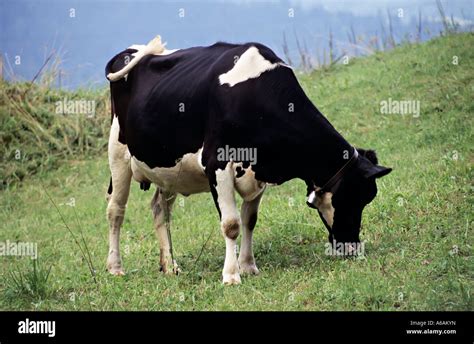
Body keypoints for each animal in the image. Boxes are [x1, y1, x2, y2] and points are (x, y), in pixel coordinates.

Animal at [104, 35, 392, 284]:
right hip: (117, 153)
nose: (352, 247)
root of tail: (129, 52)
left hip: (168, 170)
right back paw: (115, 268)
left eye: (367, 199)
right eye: (352, 197)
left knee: (159, 209)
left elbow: (249, 220)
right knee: (115, 211)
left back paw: (169, 265)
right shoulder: (217, 163)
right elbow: (231, 224)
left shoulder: (259, 170)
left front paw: (248, 266)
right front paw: (231, 275)